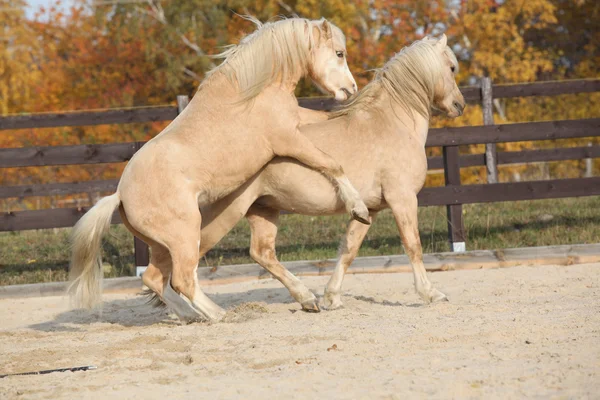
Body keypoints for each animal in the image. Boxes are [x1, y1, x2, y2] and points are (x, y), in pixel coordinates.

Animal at [65, 18, 368, 322]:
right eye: (339, 53)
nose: (351, 89)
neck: (251, 92)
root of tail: (120, 195)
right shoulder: (289, 139)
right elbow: (331, 163)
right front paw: (359, 209)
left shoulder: (300, 121)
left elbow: (327, 121)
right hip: (186, 236)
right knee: (183, 280)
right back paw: (219, 315)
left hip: (163, 245)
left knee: (154, 278)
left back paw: (191, 316)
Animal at [145, 34, 464, 312]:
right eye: (451, 67)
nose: (459, 105)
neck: (390, 122)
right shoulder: (403, 199)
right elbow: (413, 245)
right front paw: (431, 294)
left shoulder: (370, 209)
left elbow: (348, 250)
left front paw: (332, 298)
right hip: (220, 217)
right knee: (175, 271)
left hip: (262, 211)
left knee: (258, 254)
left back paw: (304, 299)